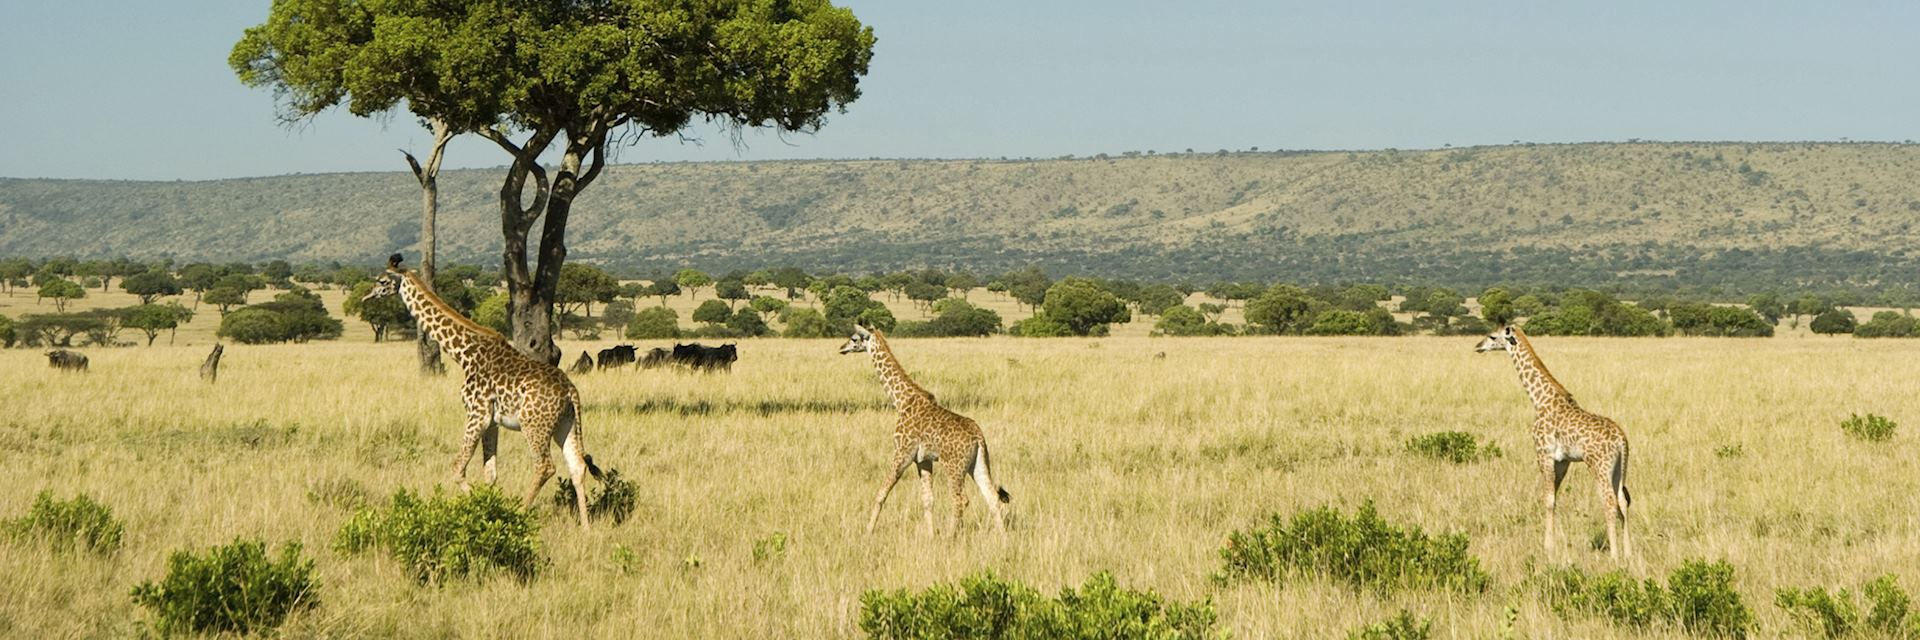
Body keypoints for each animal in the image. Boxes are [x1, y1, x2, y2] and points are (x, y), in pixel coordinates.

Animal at [359, 253, 599, 526]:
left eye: (381, 281)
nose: (365, 297)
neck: (464, 353)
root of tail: (570, 391)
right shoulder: (492, 421)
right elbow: (490, 473)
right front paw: (488, 508)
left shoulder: (477, 414)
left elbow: (457, 468)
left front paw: (479, 509)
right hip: (565, 424)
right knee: (577, 465)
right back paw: (586, 528)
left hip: (534, 424)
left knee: (545, 466)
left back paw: (520, 515)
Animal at [844, 324, 1021, 534]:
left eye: (854, 338)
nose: (842, 348)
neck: (901, 401)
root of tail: (979, 438)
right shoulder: (923, 460)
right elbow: (928, 500)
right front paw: (930, 535)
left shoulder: (902, 454)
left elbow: (881, 493)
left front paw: (868, 531)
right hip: (978, 464)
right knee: (992, 497)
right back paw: (1003, 538)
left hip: (954, 466)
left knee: (960, 499)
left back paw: (950, 536)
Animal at [1474, 326, 1628, 557]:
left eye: (1493, 336)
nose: (1478, 346)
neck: (1540, 400)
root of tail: (1621, 439)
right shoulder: (1563, 461)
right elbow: (1554, 498)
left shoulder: (1543, 453)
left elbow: (1547, 499)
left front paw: (1547, 547)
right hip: (1620, 468)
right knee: (1623, 501)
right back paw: (1629, 553)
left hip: (1599, 466)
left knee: (1609, 502)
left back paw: (1615, 555)